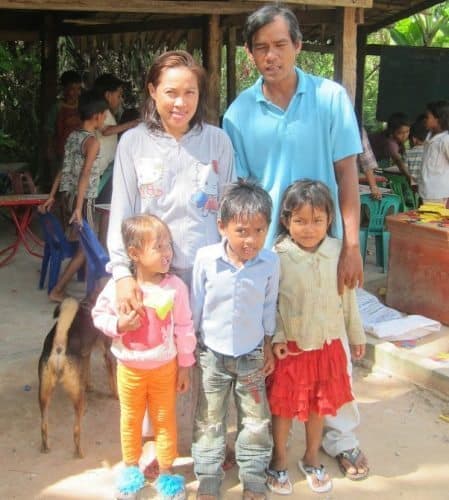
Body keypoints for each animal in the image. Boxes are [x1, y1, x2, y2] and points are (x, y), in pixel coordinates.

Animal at [37, 296, 116, 458]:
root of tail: (59, 347)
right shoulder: (107, 354)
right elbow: (113, 382)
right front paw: (116, 396)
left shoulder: (86, 355)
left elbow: (87, 372)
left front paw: (89, 385)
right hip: (77, 396)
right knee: (76, 429)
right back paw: (79, 452)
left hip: (43, 393)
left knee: (43, 425)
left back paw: (45, 447)